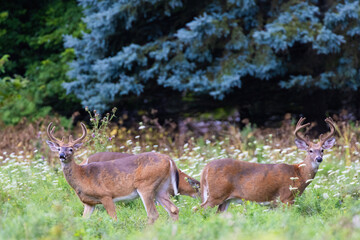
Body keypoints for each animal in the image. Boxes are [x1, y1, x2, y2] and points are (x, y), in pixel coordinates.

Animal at [45, 123, 180, 224]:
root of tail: (169, 159)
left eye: (71, 149)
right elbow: (84, 220)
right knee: (174, 209)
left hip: (146, 185)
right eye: (59, 149)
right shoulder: (89, 203)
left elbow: (114, 218)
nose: (62, 156)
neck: (82, 175)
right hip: (161, 189)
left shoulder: (106, 195)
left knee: (153, 214)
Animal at [201, 117, 336, 213]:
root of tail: (205, 168)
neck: (298, 174)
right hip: (216, 193)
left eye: (322, 150)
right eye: (310, 151)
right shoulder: (285, 198)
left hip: (225, 199)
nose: (319, 159)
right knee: (199, 208)